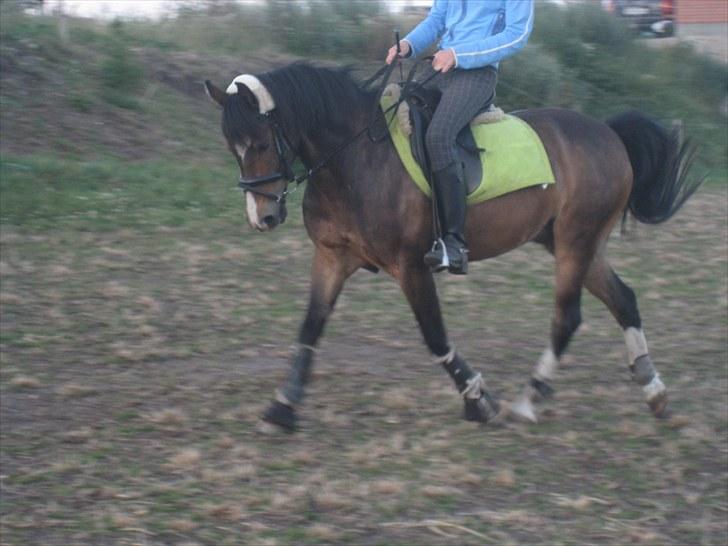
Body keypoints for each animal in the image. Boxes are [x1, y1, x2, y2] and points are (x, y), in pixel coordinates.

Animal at [203, 62, 700, 430]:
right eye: (231, 147)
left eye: (261, 142)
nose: (263, 217)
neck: (354, 158)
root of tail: (608, 133)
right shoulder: (332, 257)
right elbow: (309, 328)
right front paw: (282, 406)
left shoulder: (410, 265)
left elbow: (435, 335)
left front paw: (479, 400)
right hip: (575, 242)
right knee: (623, 299)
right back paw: (655, 393)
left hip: (576, 242)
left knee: (568, 316)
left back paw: (527, 400)